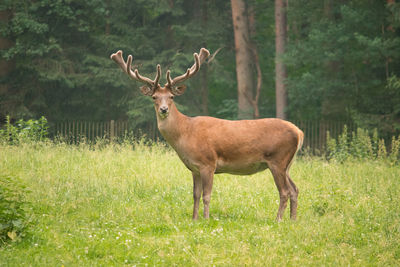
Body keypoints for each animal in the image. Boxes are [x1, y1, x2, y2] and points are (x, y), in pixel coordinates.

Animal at [109, 48, 304, 222]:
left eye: (172, 96)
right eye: (154, 97)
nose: (164, 110)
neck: (185, 134)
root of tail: (299, 132)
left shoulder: (208, 163)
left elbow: (207, 195)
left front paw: (206, 218)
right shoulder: (194, 168)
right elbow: (195, 194)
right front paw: (194, 219)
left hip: (277, 159)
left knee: (285, 191)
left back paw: (278, 219)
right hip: (287, 163)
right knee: (295, 189)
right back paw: (293, 220)